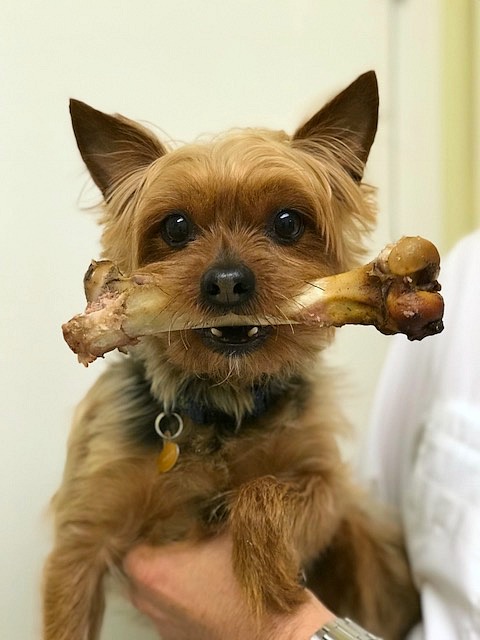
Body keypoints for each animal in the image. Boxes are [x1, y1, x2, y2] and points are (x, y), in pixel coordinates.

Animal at [44, 71, 420, 640]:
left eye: (287, 222)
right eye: (175, 227)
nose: (226, 282)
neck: (223, 404)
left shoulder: (327, 481)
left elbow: (273, 490)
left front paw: (267, 571)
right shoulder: (83, 533)